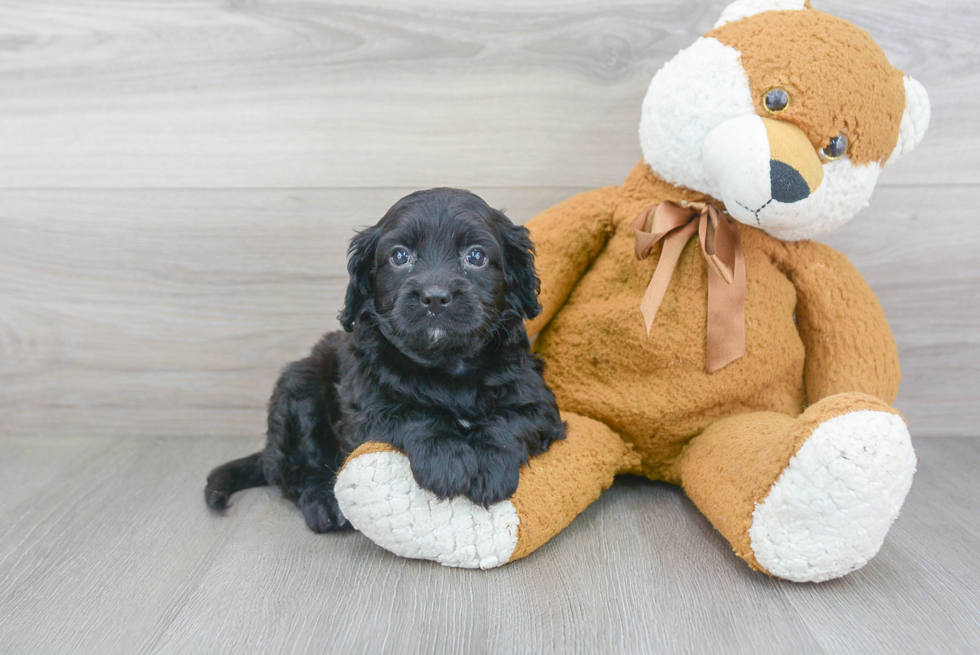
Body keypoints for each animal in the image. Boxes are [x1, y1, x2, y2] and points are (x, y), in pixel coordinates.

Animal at [205, 186, 568, 532]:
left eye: (476, 256)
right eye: (400, 256)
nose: (434, 297)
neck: (447, 364)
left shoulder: (536, 399)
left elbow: (511, 420)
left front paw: (491, 466)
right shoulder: (366, 408)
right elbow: (411, 414)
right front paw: (446, 460)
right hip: (299, 387)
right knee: (295, 471)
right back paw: (324, 503)